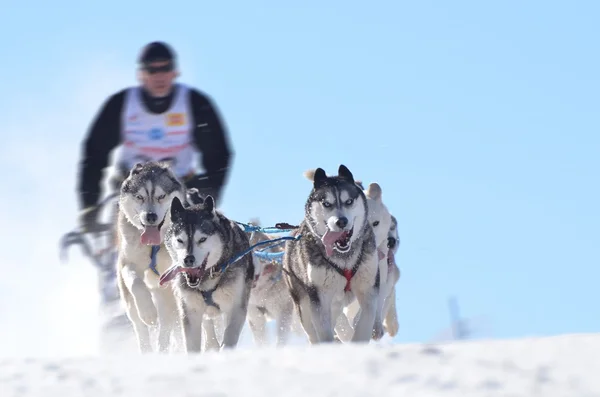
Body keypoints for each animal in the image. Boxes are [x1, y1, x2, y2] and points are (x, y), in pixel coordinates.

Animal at [114, 161, 185, 352]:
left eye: (161, 196)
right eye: (139, 197)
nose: (151, 216)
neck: (154, 246)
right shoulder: (128, 264)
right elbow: (136, 283)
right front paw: (148, 312)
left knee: (168, 326)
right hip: (132, 303)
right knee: (141, 327)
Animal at [157, 195, 253, 352]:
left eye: (202, 239)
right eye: (180, 240)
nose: (188, 259)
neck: (209, 277)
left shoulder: (235, 308)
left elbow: (229, 337)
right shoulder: (190, 310)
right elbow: (192, 344)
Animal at [282, 162, 380, 342]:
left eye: (349, 201)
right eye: (326, 203)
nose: (341, 221)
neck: (344, 257)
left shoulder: (368, 289)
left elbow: (365, 323)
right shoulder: (319, 298)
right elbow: (323, 333)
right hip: (304, 304)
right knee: (312, 332)